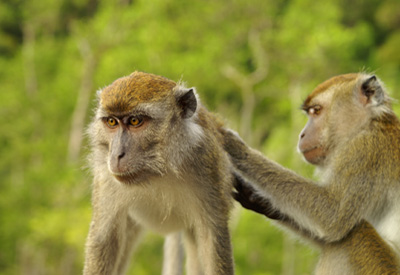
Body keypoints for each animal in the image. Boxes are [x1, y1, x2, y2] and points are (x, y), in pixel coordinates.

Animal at [84, 71, 234, 275]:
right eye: (112, 122)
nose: (116, 155)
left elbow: (211, 239)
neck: (158, 170)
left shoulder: (207, 163)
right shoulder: (106, 177)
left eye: (135, 121)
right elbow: (104, 239)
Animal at [222, 74, 400, 275]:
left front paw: (237, 149)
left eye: (316, 111)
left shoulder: (365, 153)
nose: (302, 134)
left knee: (354, 236)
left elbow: (331, 216)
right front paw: (259, 199)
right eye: (311, 113)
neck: (370, 125)